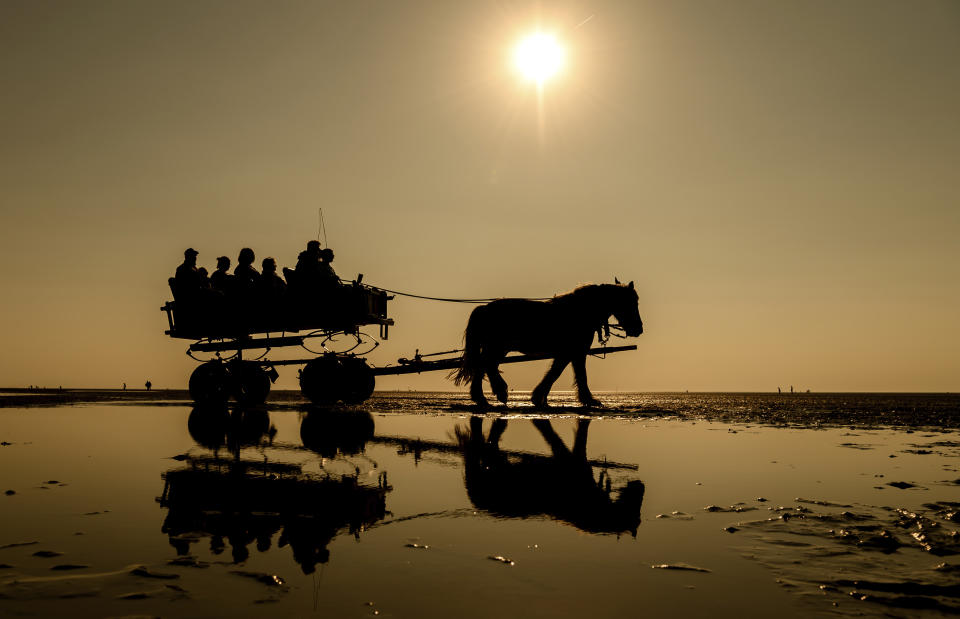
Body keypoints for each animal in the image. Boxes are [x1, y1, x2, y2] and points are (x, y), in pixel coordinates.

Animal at [452, 280, 644, 406]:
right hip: (498, 347)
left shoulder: (567, 353)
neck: (581, 312)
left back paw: (480, 397)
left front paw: (538, 396)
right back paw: (499, 391)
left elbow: (555, 372)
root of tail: (484, 308)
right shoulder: (576, 352)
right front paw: (589, 399)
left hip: (495, 348)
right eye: (631, 302)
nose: (638, 329)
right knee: (488, 365)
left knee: (483, 366)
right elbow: (577, 375)